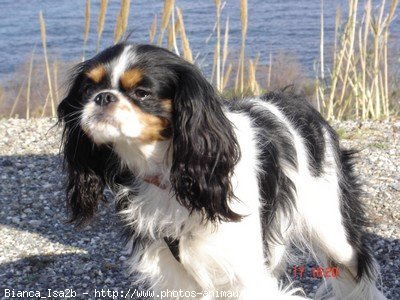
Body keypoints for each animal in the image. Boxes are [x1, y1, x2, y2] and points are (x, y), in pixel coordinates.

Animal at [57, 43, 386, 298]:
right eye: (89, 88)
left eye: (142, 92)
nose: (103, 97)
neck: (171, 176)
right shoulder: (174, 273)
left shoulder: (245, 273)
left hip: (334, 233)